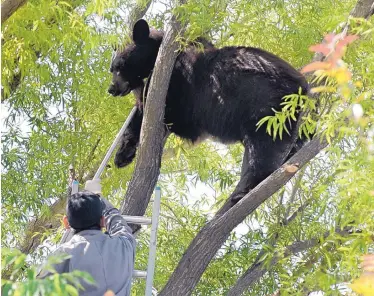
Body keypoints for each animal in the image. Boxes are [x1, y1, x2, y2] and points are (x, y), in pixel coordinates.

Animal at [109, 19, 308, 202]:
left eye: (119, 66)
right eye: (113, 69)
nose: (112, 89)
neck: (159, 58)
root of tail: (305, 89)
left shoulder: (178, 81)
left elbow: (153, 110)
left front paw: (124, 153)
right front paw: (122, 155)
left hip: (270, 109)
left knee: (263, 151)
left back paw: (241, 192)